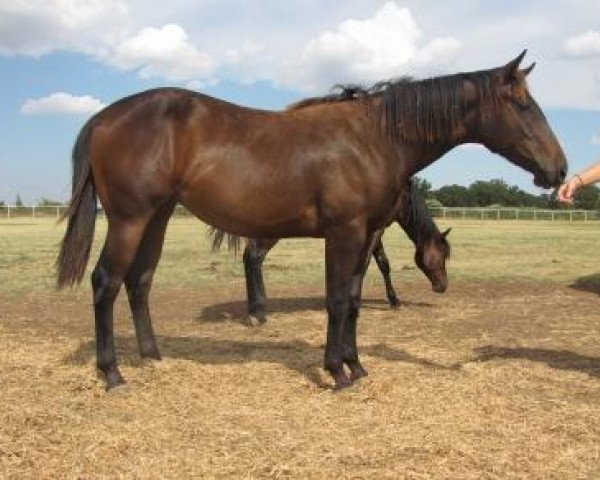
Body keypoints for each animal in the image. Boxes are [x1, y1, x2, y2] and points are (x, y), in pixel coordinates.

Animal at [211, 178, 450, 324]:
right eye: (444, 255)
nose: (442, 286)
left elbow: (380, 262)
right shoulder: (377, 228)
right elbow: (370, 264)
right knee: (253, 257)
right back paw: (258, 314)